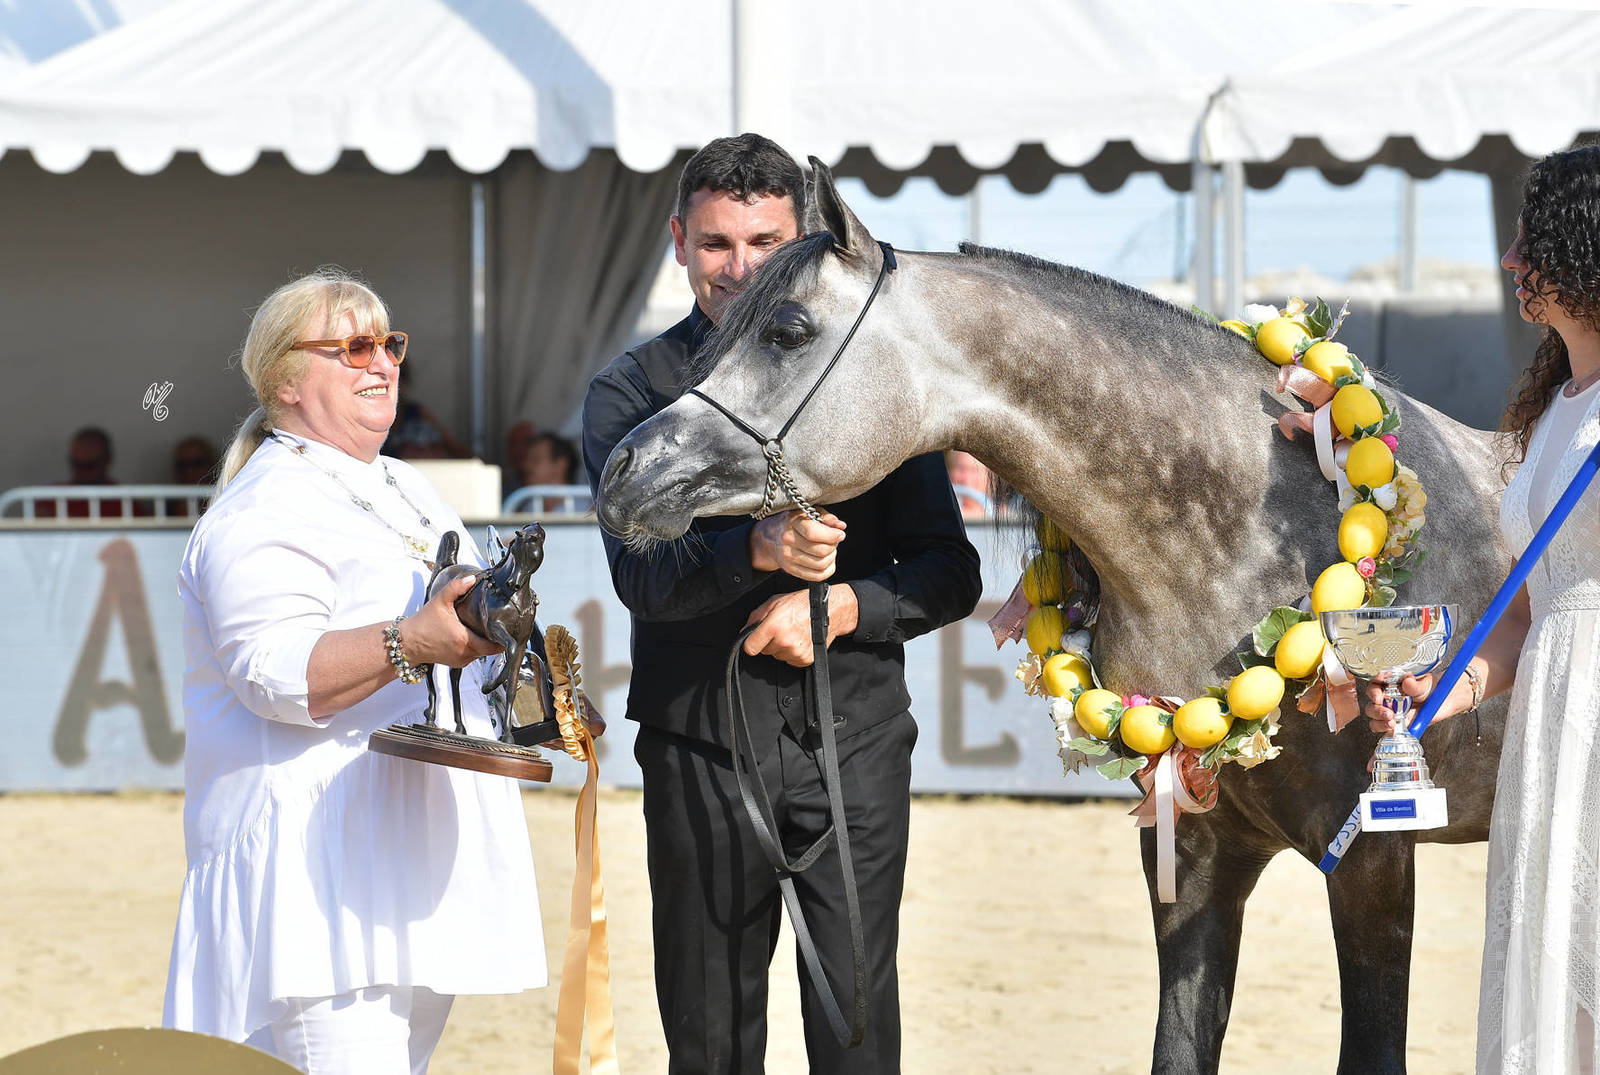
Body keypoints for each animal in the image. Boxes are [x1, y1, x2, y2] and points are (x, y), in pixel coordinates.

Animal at [594, 160, 1514, 1074]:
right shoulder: (1193, 853)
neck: (1266, 529)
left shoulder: (1374, 861)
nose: (621, 468)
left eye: (787, 330)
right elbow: (1179, 1044)